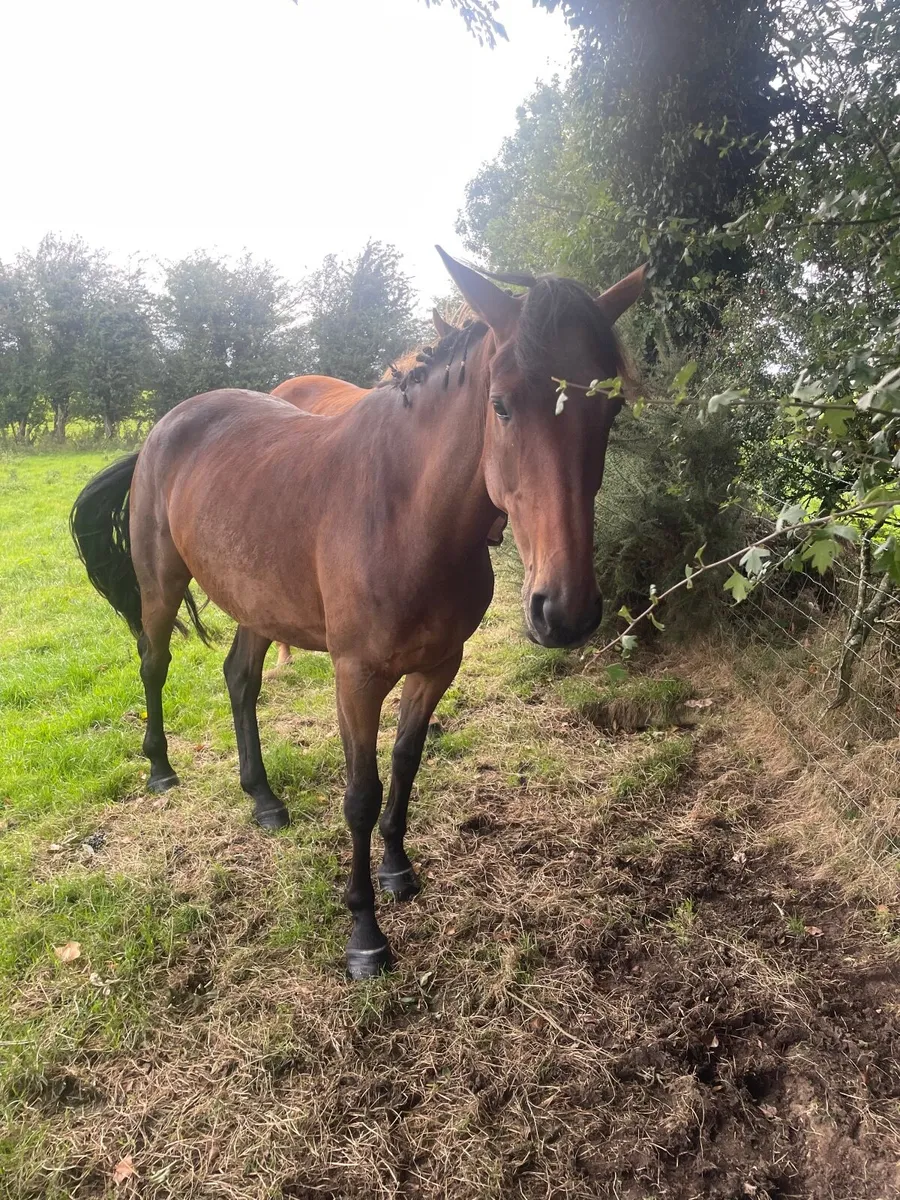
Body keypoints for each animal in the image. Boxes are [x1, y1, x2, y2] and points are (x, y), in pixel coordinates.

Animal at [70, 247, 645, 978]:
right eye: (502, 405)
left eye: (612, 407)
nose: (564, 611)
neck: (407, 515)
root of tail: (165, 427)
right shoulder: (357, 677)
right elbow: (361, 794)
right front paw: (365, 934)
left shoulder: (438, 666)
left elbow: (405, 763)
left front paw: (399, 870)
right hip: (161, 581)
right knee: (154, 661)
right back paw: (160, 769)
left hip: (259, 600)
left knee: (240, 678)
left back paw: (263, 799)